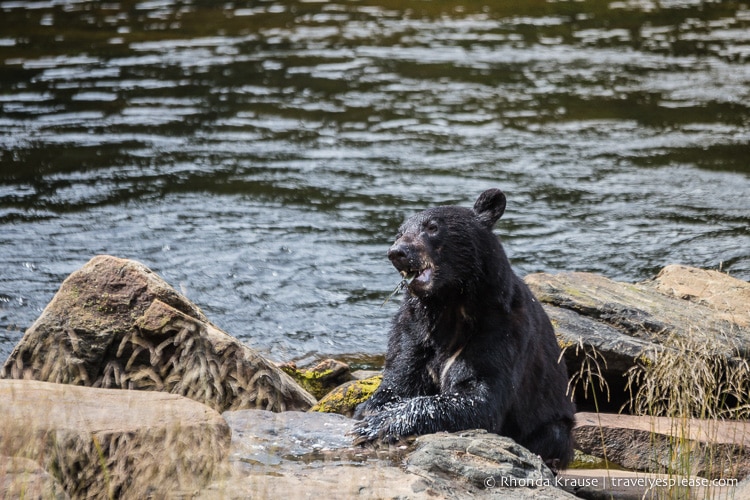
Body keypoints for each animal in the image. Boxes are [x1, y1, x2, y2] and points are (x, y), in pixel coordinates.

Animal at [352, 188, 576, 468]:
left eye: (432, 227)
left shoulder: (501, 331)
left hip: (553, 425)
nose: (397, 252)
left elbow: (479, 395)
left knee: (551, 436)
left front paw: (380, 424)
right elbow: (399, 379)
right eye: (399, 232)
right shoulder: (412, 330)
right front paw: (370, 411)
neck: (449, 305)